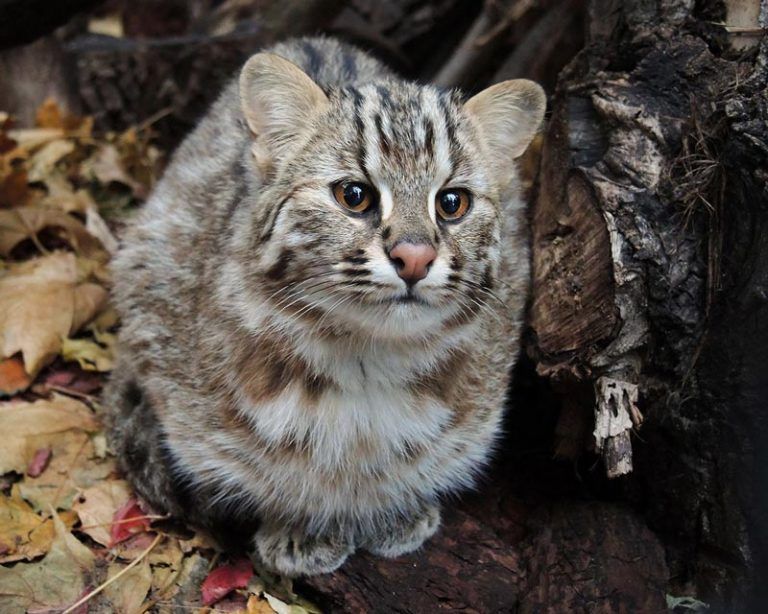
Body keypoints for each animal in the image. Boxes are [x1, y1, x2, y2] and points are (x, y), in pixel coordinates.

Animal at [105, 37, 544, 576]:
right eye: (353, 195)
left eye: (452, 202)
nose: (415, 258)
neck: (366, 358)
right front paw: (303, 523)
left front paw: (395, 508)